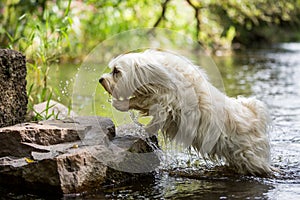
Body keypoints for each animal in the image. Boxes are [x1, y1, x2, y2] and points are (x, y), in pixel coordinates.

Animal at [100, 49, 272, 176]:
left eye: (116, 71)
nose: (101, 79)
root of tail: (256, 118)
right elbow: (141, 101)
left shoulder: (168, 102)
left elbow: (151, 111)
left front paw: (136, 123)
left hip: (250, 157)